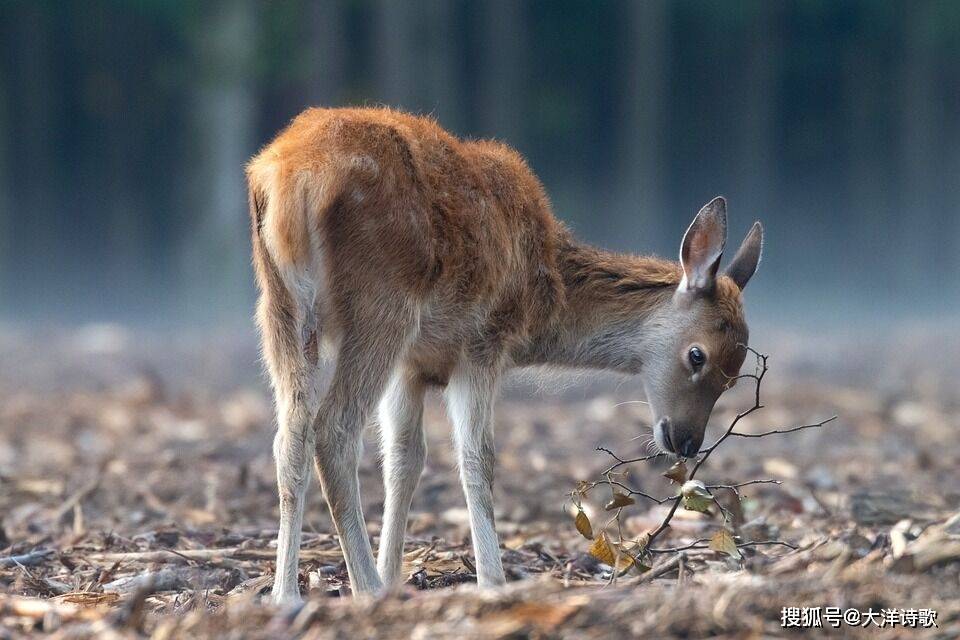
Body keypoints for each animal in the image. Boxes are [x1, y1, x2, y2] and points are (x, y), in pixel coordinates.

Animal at [249, 106, 764, 604]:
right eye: (697, 355)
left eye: (734, 375)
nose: (686, 441)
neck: (544, 298)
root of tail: (291, 180)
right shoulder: (483, 343)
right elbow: (477, 459)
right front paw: (490, 581)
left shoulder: (411, 365)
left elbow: (404, 459)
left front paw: (395, 574)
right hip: (382, 307)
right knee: (334, 430)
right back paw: (364, 590)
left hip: (280, 310)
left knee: (290, 436)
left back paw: (285, 595)